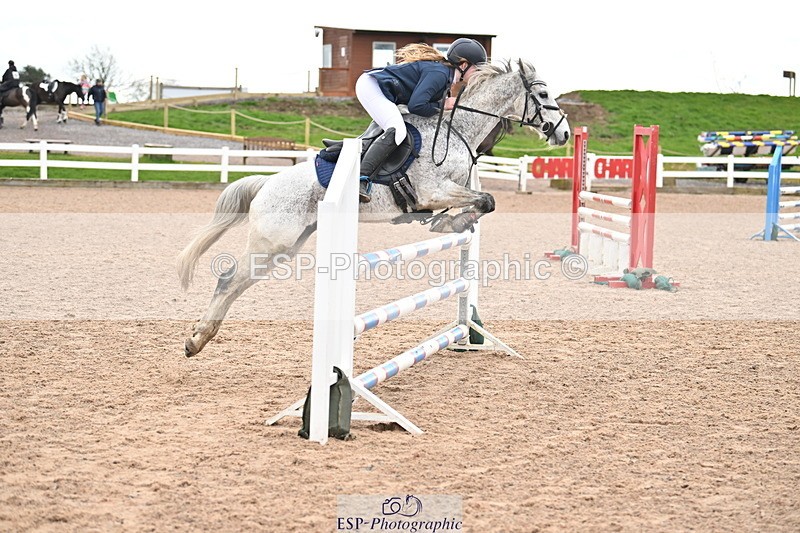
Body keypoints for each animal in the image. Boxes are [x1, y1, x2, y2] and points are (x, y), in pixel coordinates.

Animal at [177, 59, 571, 357]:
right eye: (543, 94)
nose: (564, 134)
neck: (458, 130)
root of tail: (266, 183)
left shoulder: (450, 190)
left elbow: (483, 202)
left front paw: (454, 224)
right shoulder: (432, 191)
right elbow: (485, 200)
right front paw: (450, 224)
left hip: (284, 248)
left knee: (237, 284)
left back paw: (201, 338)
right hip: (272, 242)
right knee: (228, 280)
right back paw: (196, 341)